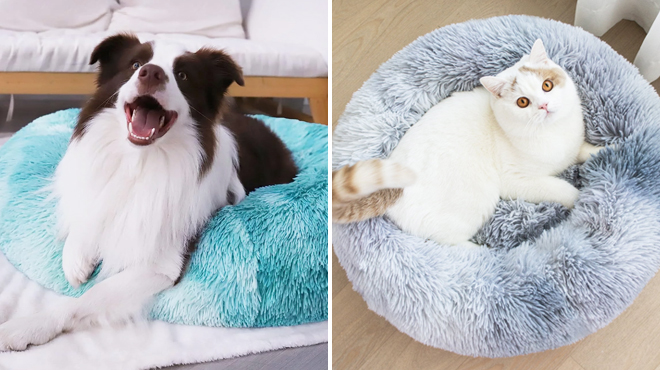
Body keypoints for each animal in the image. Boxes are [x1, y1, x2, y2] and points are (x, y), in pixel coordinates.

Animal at [0, 34, 296, 350]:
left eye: (182, 75)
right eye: (135, 64)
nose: (151, 72)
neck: (139, 161)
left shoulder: (161, 264)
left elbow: (86, 298)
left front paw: (28, 326)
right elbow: (88, 216)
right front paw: (77, 259)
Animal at [336, 39, 604, 246]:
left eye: (546, 85)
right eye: (523, 102)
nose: (544, 105)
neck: (553, 133)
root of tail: (393, 186)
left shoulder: (574, 146)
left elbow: (585, 150)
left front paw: (606, 150)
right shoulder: (516, 180)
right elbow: (559, 188)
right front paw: (580, 197)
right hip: (473, 201)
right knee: (451, 245)